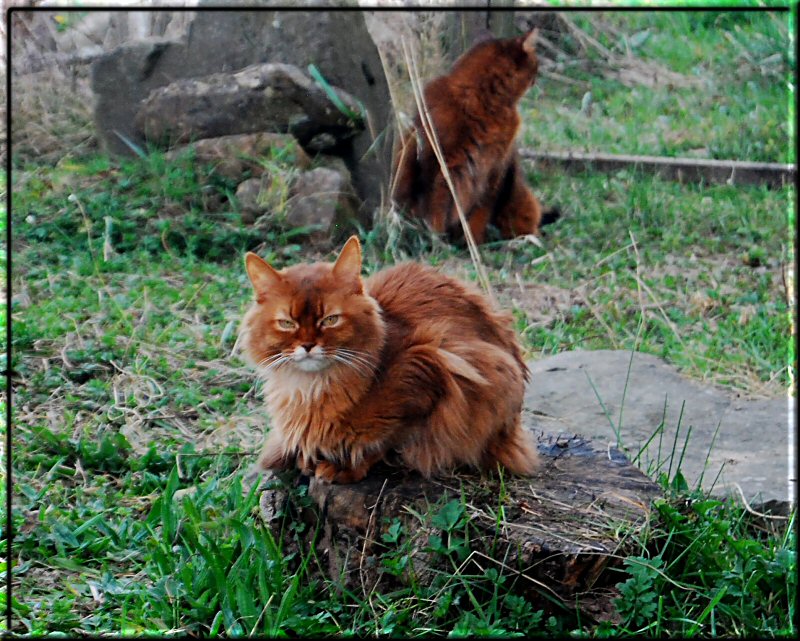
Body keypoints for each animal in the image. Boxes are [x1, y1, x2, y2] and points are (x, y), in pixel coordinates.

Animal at [241, 238, 540, 482]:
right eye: (287, 323)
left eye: (330, 320)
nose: (307, 345)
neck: (311, 388)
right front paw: (308, 459)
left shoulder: (434, 366)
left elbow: (385, 439)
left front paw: (346, 465)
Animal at [392, 27, 556, 244]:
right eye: (535, 63)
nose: (538, 75)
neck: (486, 102)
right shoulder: (438, 163)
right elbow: (434, 208)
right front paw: (436, 238)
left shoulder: (493, 172)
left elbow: (477, 214)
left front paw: (471, 243)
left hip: (520, 198)